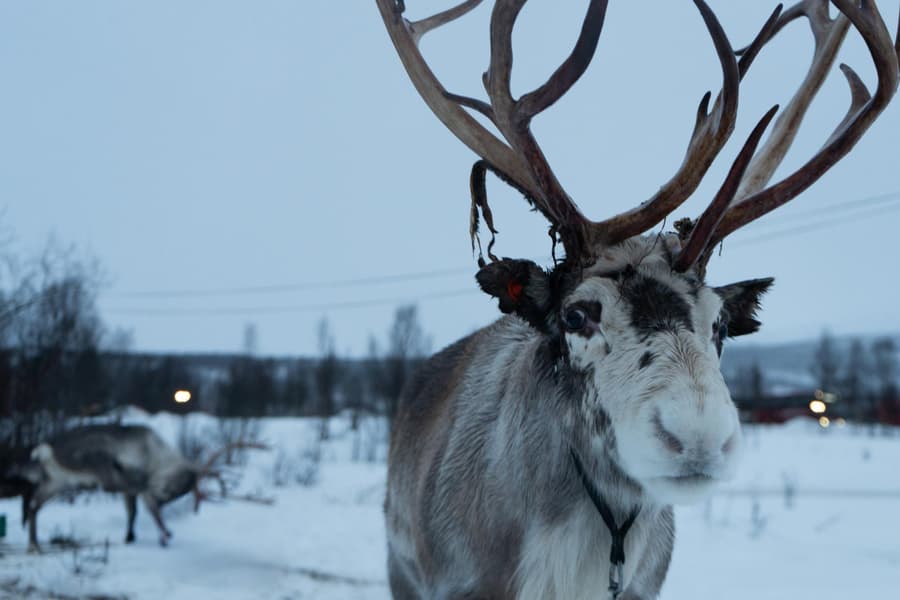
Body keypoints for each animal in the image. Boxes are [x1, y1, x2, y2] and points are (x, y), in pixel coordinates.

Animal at [23, 423, 261, 552]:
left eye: (178, 492)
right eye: (173, 486)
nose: (160, 497)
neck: (157, 457)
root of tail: (44, 449)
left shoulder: (131, 491)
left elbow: (133, 512)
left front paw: (131, 537)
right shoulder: (134, 484)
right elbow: (142, 505)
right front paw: (163, 534)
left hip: (58, 482)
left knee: (34, 504)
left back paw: (34, 543)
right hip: (66, 478)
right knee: (34, 504)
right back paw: (34, 545)